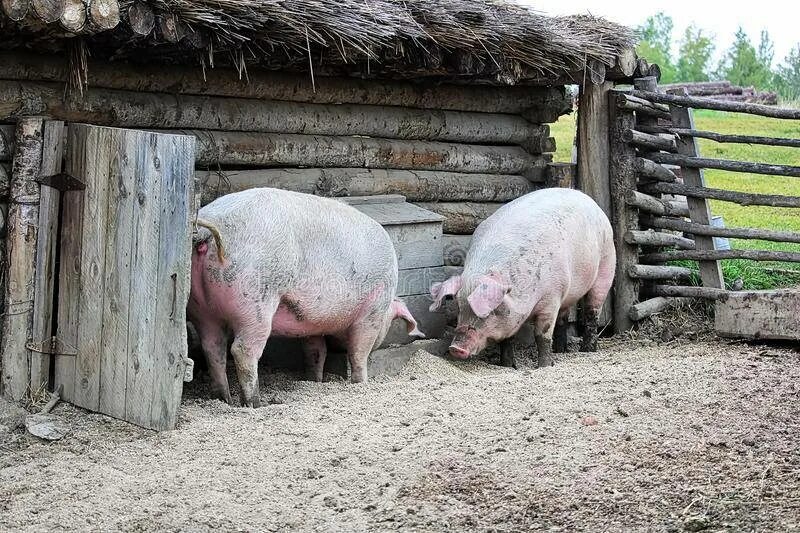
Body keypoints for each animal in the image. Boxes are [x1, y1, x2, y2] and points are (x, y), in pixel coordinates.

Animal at [188, 188, 424, 408]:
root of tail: (209, 227)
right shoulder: (371, 312)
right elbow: (358, 353)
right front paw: (361, 383)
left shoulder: (311, 323)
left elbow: (316, 351)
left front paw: (314, 380)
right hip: (255, 299)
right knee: (242, 350)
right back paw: (255, 404)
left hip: (200, 308)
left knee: (213, 348)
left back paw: (223, 399)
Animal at [432, 189, 612, 368]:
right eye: (460, 307)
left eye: (490, 311)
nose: (456, 348)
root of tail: (585, 197)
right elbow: (507, 339)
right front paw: (508, 366)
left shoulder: (551, 297)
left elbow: (542, 336)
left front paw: (544, 366)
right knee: (563, 318)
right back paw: (560, 351)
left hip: (607, 261)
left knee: (592, 311)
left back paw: (587, 350)